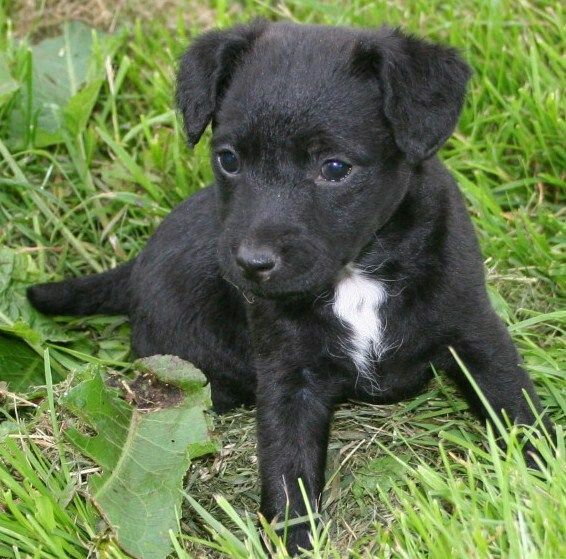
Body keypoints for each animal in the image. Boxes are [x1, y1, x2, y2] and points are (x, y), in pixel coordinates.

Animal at [30, 20, 544, 556]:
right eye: (228, 159)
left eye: (334, 168)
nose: (251, 263)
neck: (355, 272)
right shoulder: (287, 376)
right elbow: (287, 469)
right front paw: (295, 540)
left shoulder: (474, 332)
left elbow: (516, 405)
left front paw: (541, 479)